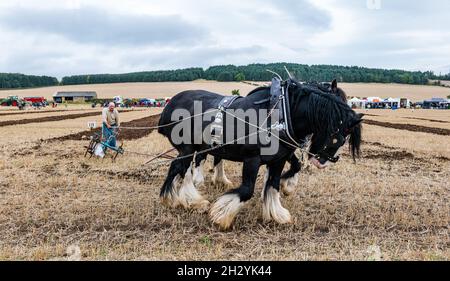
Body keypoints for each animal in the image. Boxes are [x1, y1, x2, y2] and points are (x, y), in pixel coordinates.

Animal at [158, 79, 362, 230]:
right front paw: (221, 215)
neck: (282, 114)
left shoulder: (279, 159)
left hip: (199, 147)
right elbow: (247, 189)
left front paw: (277, 212)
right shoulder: (252, 159)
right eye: (339, 135)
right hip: (187, 148)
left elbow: (274, 185)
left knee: (185, 169)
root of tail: (171, 104)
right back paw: (180, 199)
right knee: (179, 168)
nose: (323, 162)